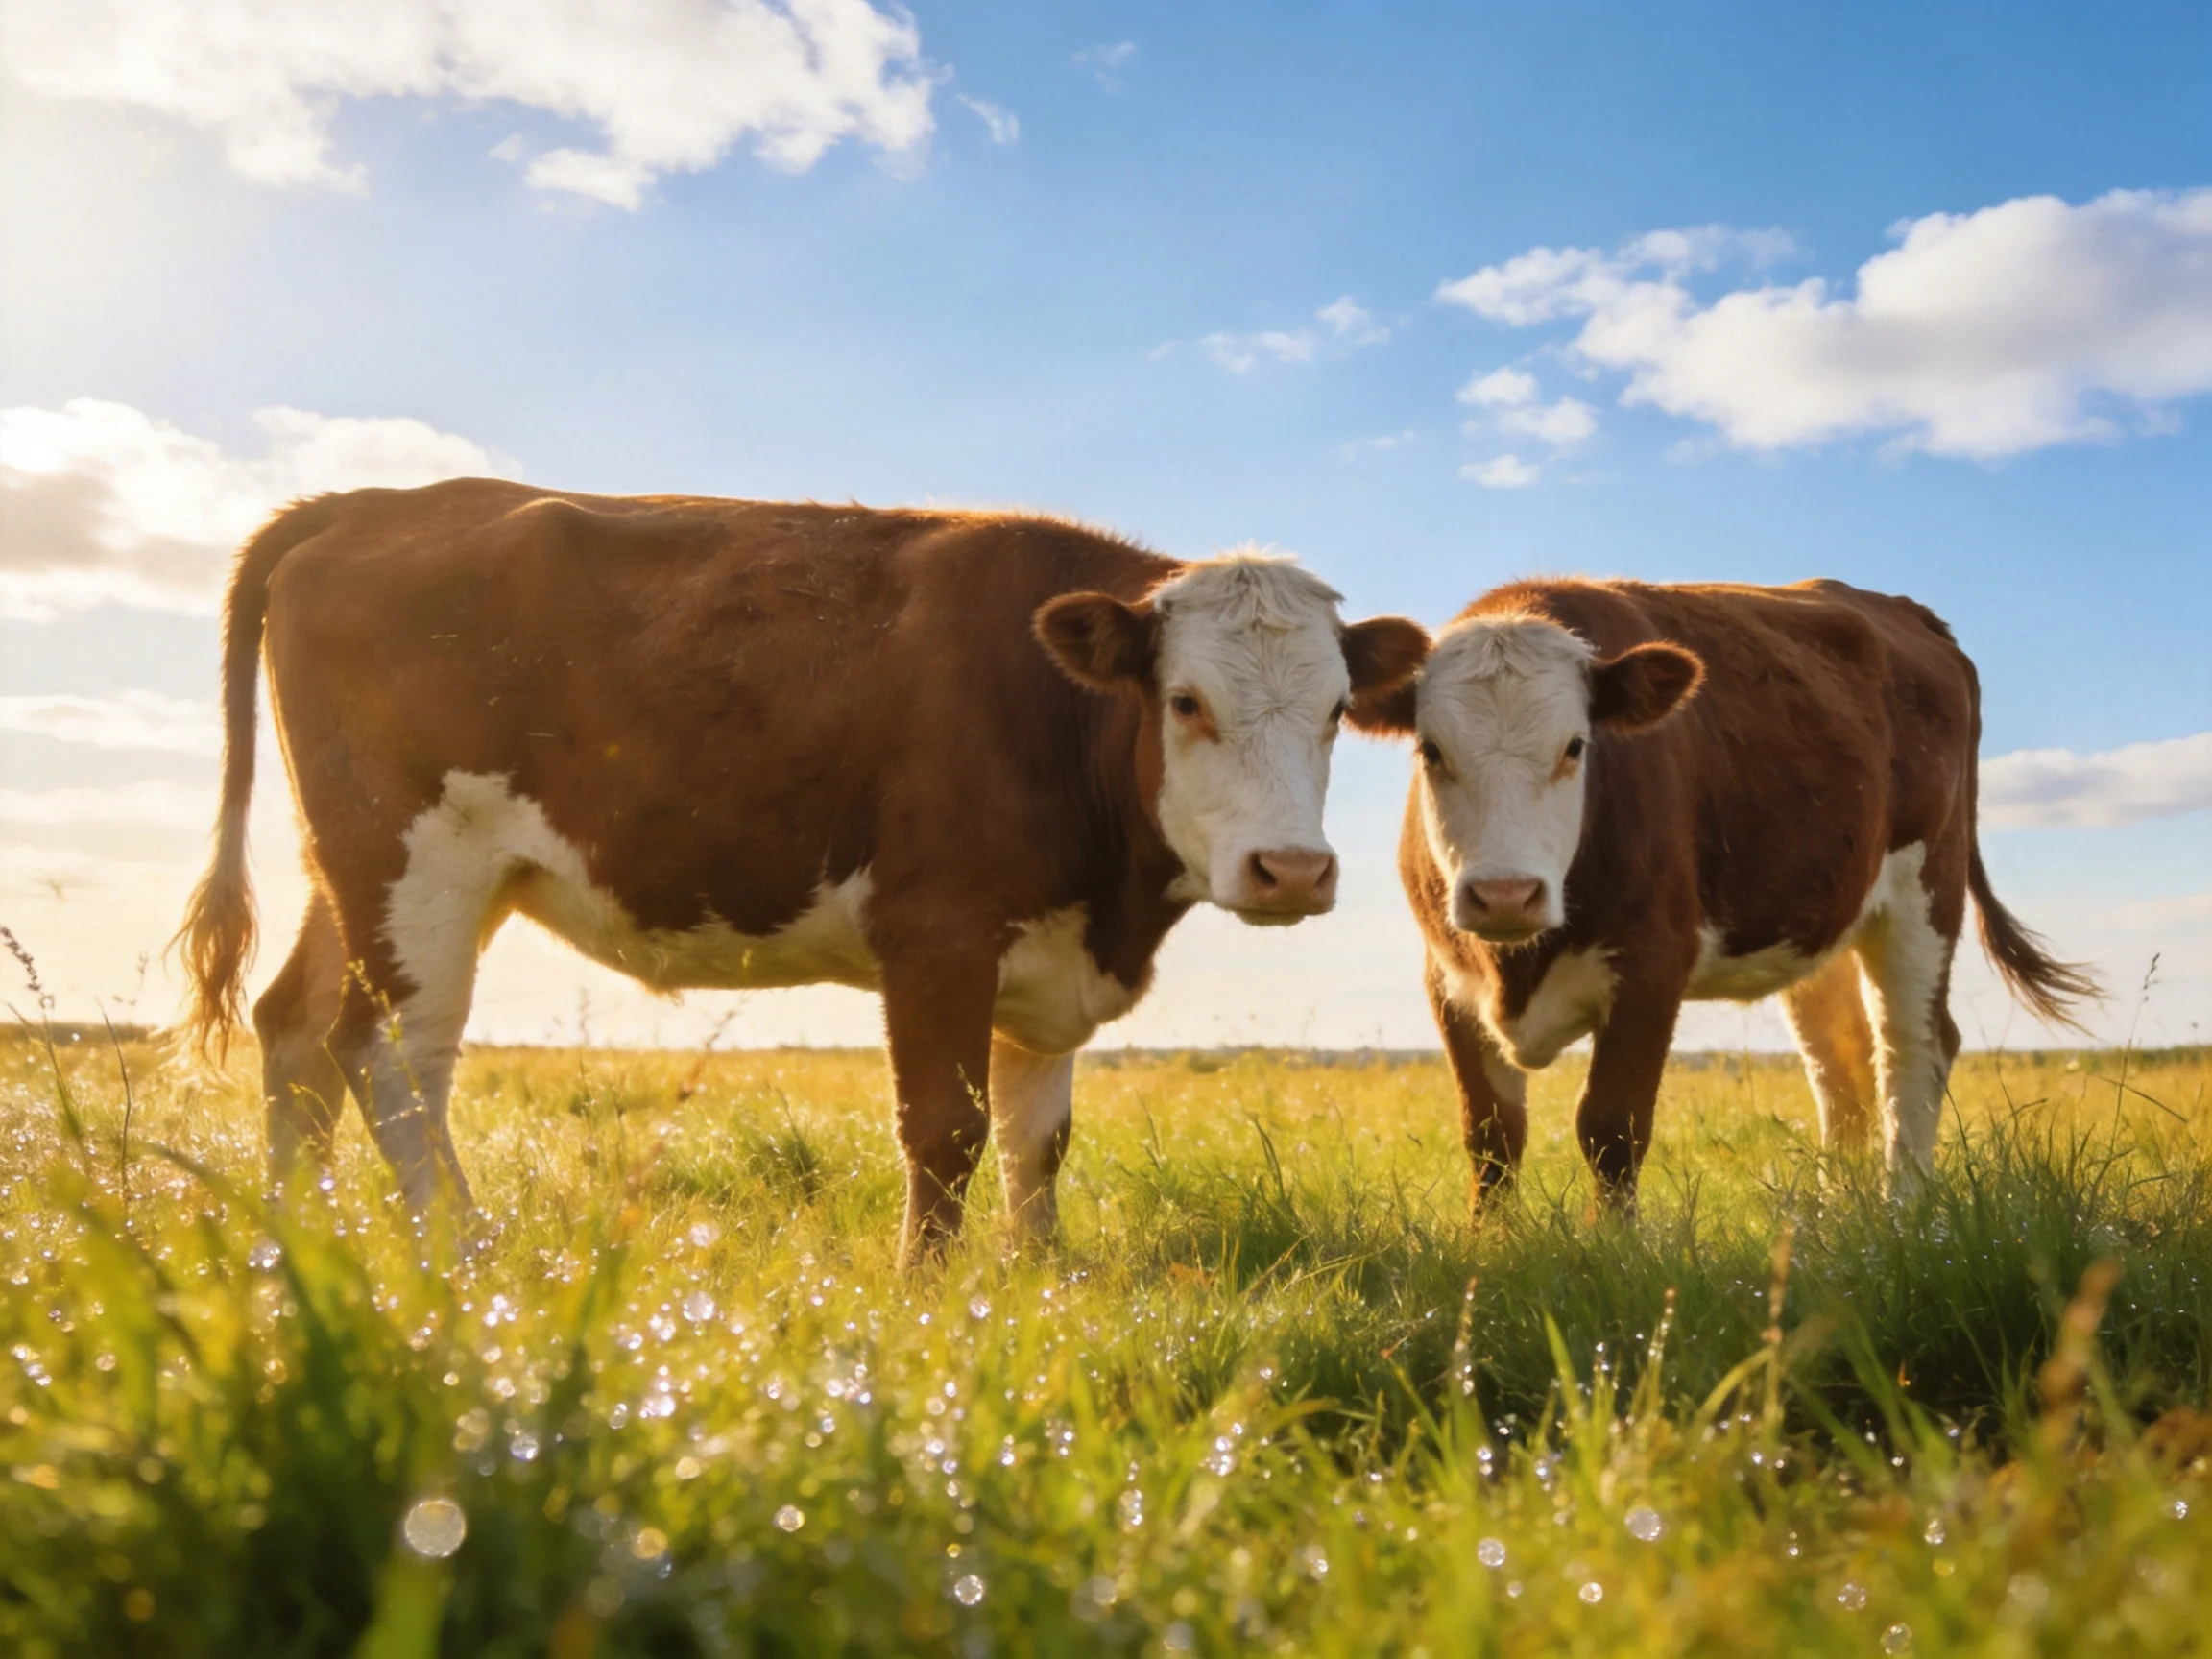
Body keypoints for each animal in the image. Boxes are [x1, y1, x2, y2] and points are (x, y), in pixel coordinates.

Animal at [175, 479, 1429, 1262]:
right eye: (1185, 702)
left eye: (1335, 710)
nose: (1291, 869)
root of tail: (370, 502)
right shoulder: (936, 932)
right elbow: (947, 1128)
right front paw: (928, 1300)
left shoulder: (1046, 958)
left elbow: (1037, 1141)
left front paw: (1037, 1286)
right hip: (417, 863)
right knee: (395, 1059)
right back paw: (463, 1256)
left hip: (361, 875)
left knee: (297, 1031)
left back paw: (296, 1244)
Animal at [1352, 576, 2094, 1214]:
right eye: (1430, 750)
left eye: (1575, 746)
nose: (1506, 894)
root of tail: (1910, 613)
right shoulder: (1447, 979)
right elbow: (1490, 1137)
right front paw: (1491, 1251)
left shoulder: (1653, 965)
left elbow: (1611, 1128)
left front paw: (1613, 1252)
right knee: (1841, 1062)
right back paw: (1835, 1216)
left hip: (1925, 889)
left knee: (1913, 1047)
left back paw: (1903, 1212)